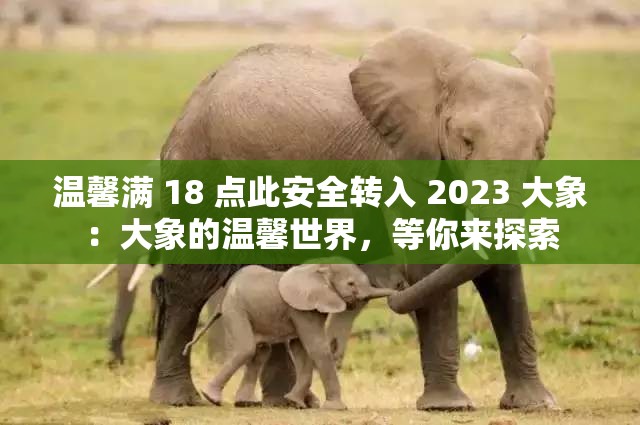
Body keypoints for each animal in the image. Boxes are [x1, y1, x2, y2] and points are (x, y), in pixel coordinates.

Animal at [182, 263, 398, 410]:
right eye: (351, 283)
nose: (397, 288)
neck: (321, 268)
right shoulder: (302, 308)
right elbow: (316, 346)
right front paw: (336, 408)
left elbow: (301, 349)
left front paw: (295, 402)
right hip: (236, 308)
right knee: (246, 348)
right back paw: (211, 398)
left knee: (260, 352)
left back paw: (245, 402)